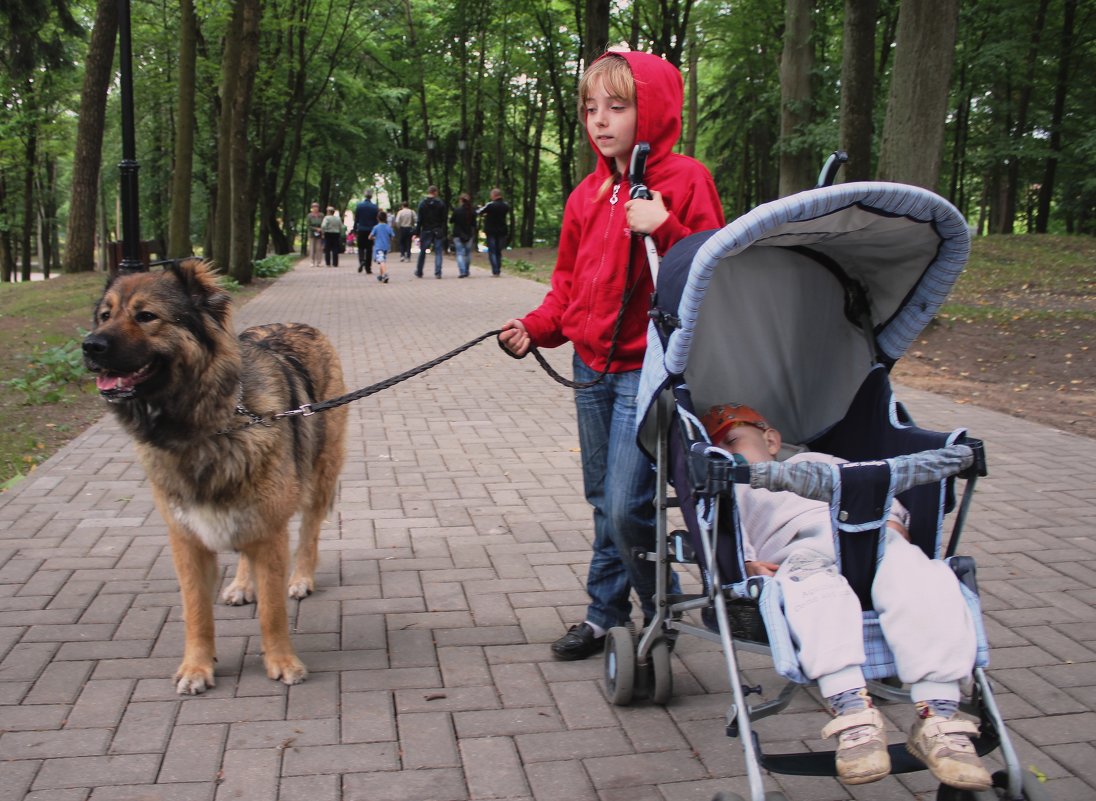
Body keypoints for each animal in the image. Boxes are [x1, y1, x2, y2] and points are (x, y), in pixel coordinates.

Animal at [81, 259, 346, 692]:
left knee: (309, 532)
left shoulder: (271, 529)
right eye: (105, 316)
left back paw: (301, 578)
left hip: (318, 475)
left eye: (146, 316)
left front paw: (282, 661)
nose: (90, 346)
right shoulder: (187, 538)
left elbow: (272, 610)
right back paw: (242, 584)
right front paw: (197, 667)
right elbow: (196, 612)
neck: (206, 427)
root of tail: (296, 323)